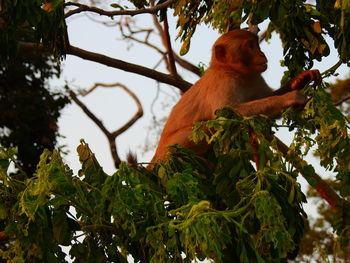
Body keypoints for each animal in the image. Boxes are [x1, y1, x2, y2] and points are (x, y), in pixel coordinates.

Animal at [149, 28, 322, 165]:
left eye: (257, 45)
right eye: (250, 46)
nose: (262, 53)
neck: (233, 71)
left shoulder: (256, 78)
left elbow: (266, 97)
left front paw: (299, 80)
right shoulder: (223, 82)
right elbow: (224, 115)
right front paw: (288, 98)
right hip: (172, 149)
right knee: (206, 127)